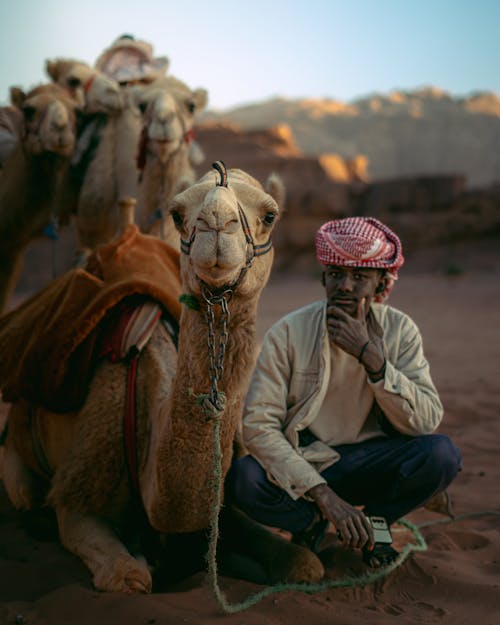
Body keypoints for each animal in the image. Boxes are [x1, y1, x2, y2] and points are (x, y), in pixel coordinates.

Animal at [1, 163, 322, 592]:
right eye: (177, 214)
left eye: (270, 215)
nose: (216, 222)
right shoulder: (78, 491)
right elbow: (128, 577)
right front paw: (141, 561)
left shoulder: (220, 508)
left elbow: (306, 565)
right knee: (23, 491)